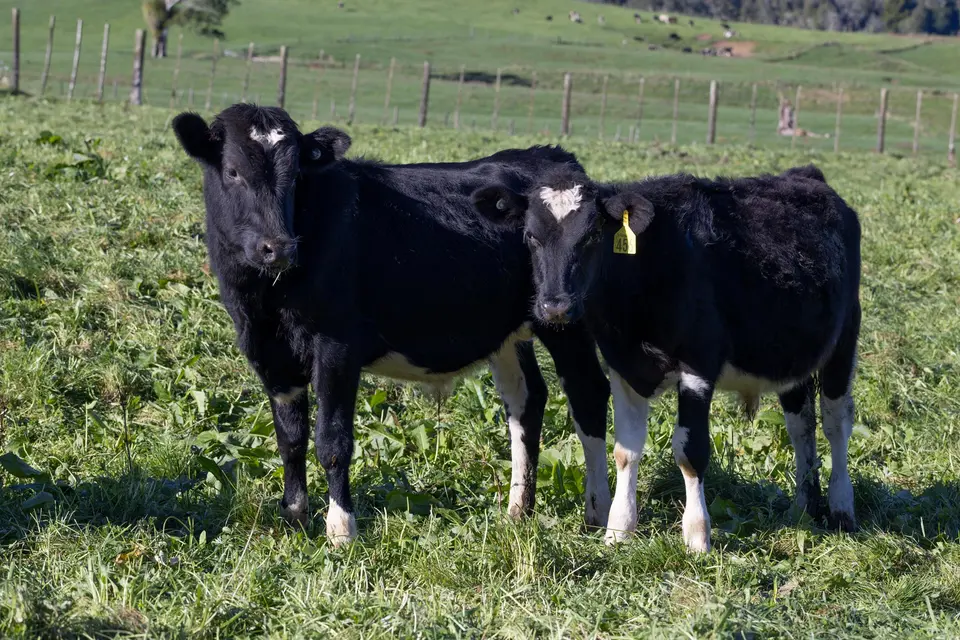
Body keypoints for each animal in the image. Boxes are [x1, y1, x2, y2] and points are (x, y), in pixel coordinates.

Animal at [171, 105, 612, 547]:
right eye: (232, 171)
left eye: (296, 175)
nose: (278, 247)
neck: (265, 297)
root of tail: (551, 155)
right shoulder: (268, 352)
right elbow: (290, 440)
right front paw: (295, 519)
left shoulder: (336, 345)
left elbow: (332, 440)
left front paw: (340, 529)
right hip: (507, 331)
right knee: (526, 400)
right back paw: (518, 511)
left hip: (564, 316)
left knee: (588, 393)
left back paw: (598, 514)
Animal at [471, 164, 862, 553]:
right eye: (531, 237)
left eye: (592, 236)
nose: (555, 307)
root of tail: (805, 174)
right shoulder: (622, 366)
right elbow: (625, 450)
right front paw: (618, 530)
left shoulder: (698, 365)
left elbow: (690, 451)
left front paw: (697, 535)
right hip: (790, 357)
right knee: (800, 425)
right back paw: (804, 506)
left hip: (844, 341)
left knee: (836, 423)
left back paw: (842, 508)